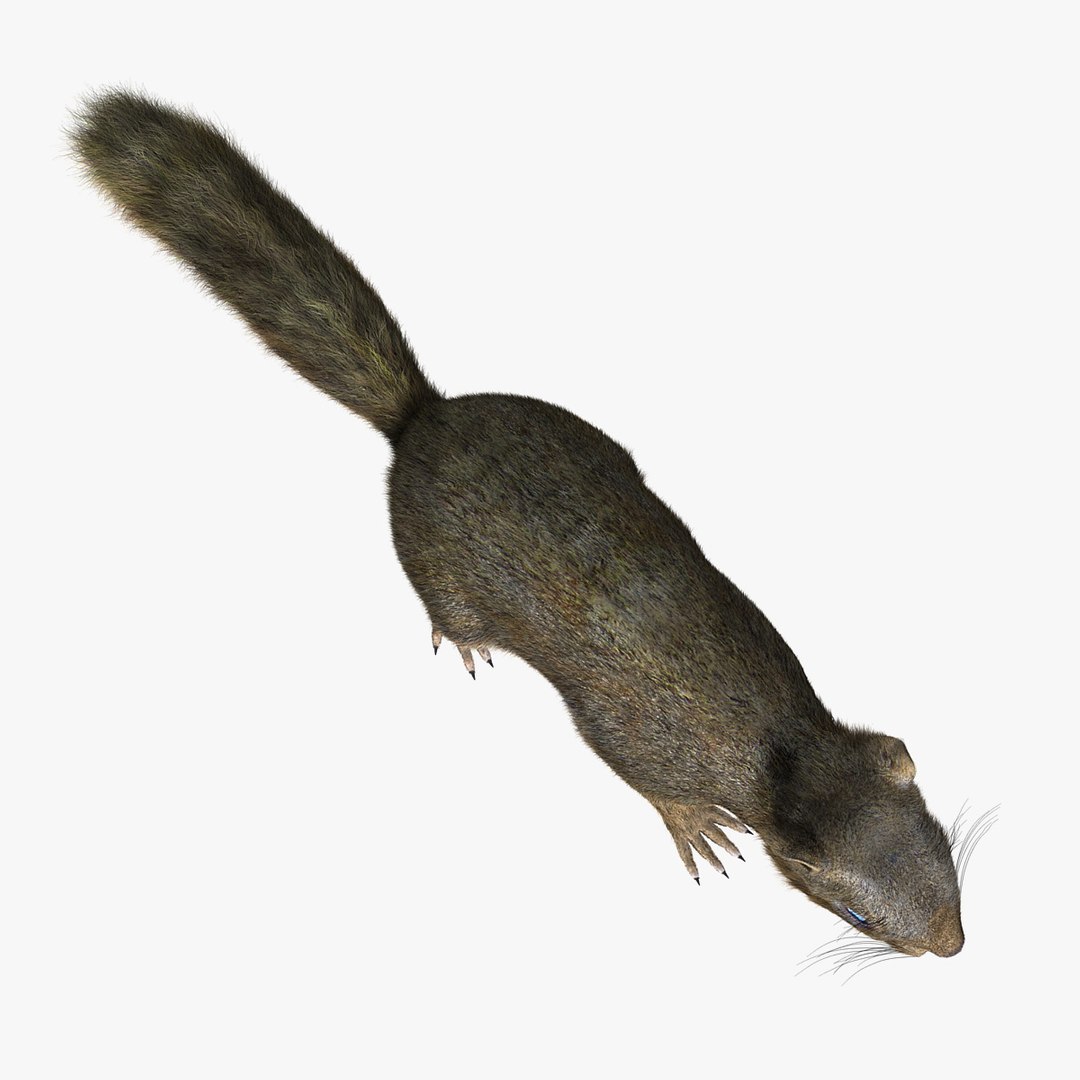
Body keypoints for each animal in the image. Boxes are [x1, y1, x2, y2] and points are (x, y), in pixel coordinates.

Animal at [71, 90, 965, 959]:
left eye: (945, 846)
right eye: (857, 917)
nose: (952, 947)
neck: (777, 742)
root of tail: (422, 415)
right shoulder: (633, 734)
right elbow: (639, 774)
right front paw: (693, 825)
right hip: (436, 565)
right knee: (445, 606)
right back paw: (465, 638)